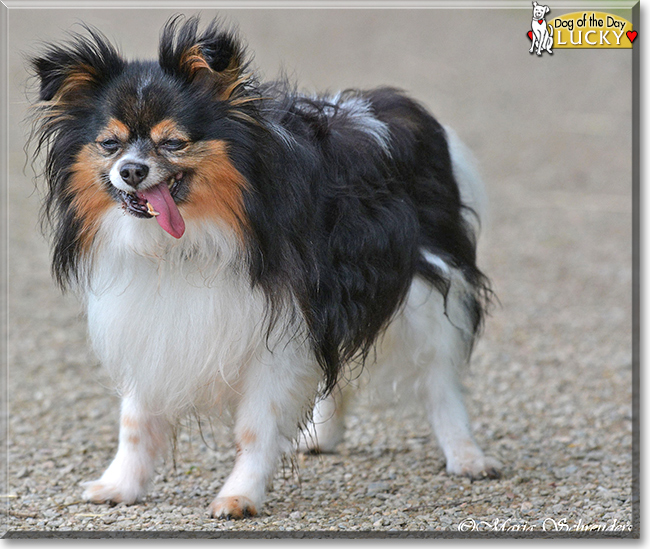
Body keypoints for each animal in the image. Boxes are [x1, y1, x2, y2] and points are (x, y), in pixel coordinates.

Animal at [27, 16, 498, 520]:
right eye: (109, 144)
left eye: (173, 143)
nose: (132, 171)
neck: (184, 242)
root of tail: (399, 108)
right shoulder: (154, 321)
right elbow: (135, 418)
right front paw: (120, 485)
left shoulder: (278, 328)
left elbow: (255, 427)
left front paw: (240, 495)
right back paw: (322, 435)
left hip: (422, 292)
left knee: (439, 378)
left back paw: (467, 455)